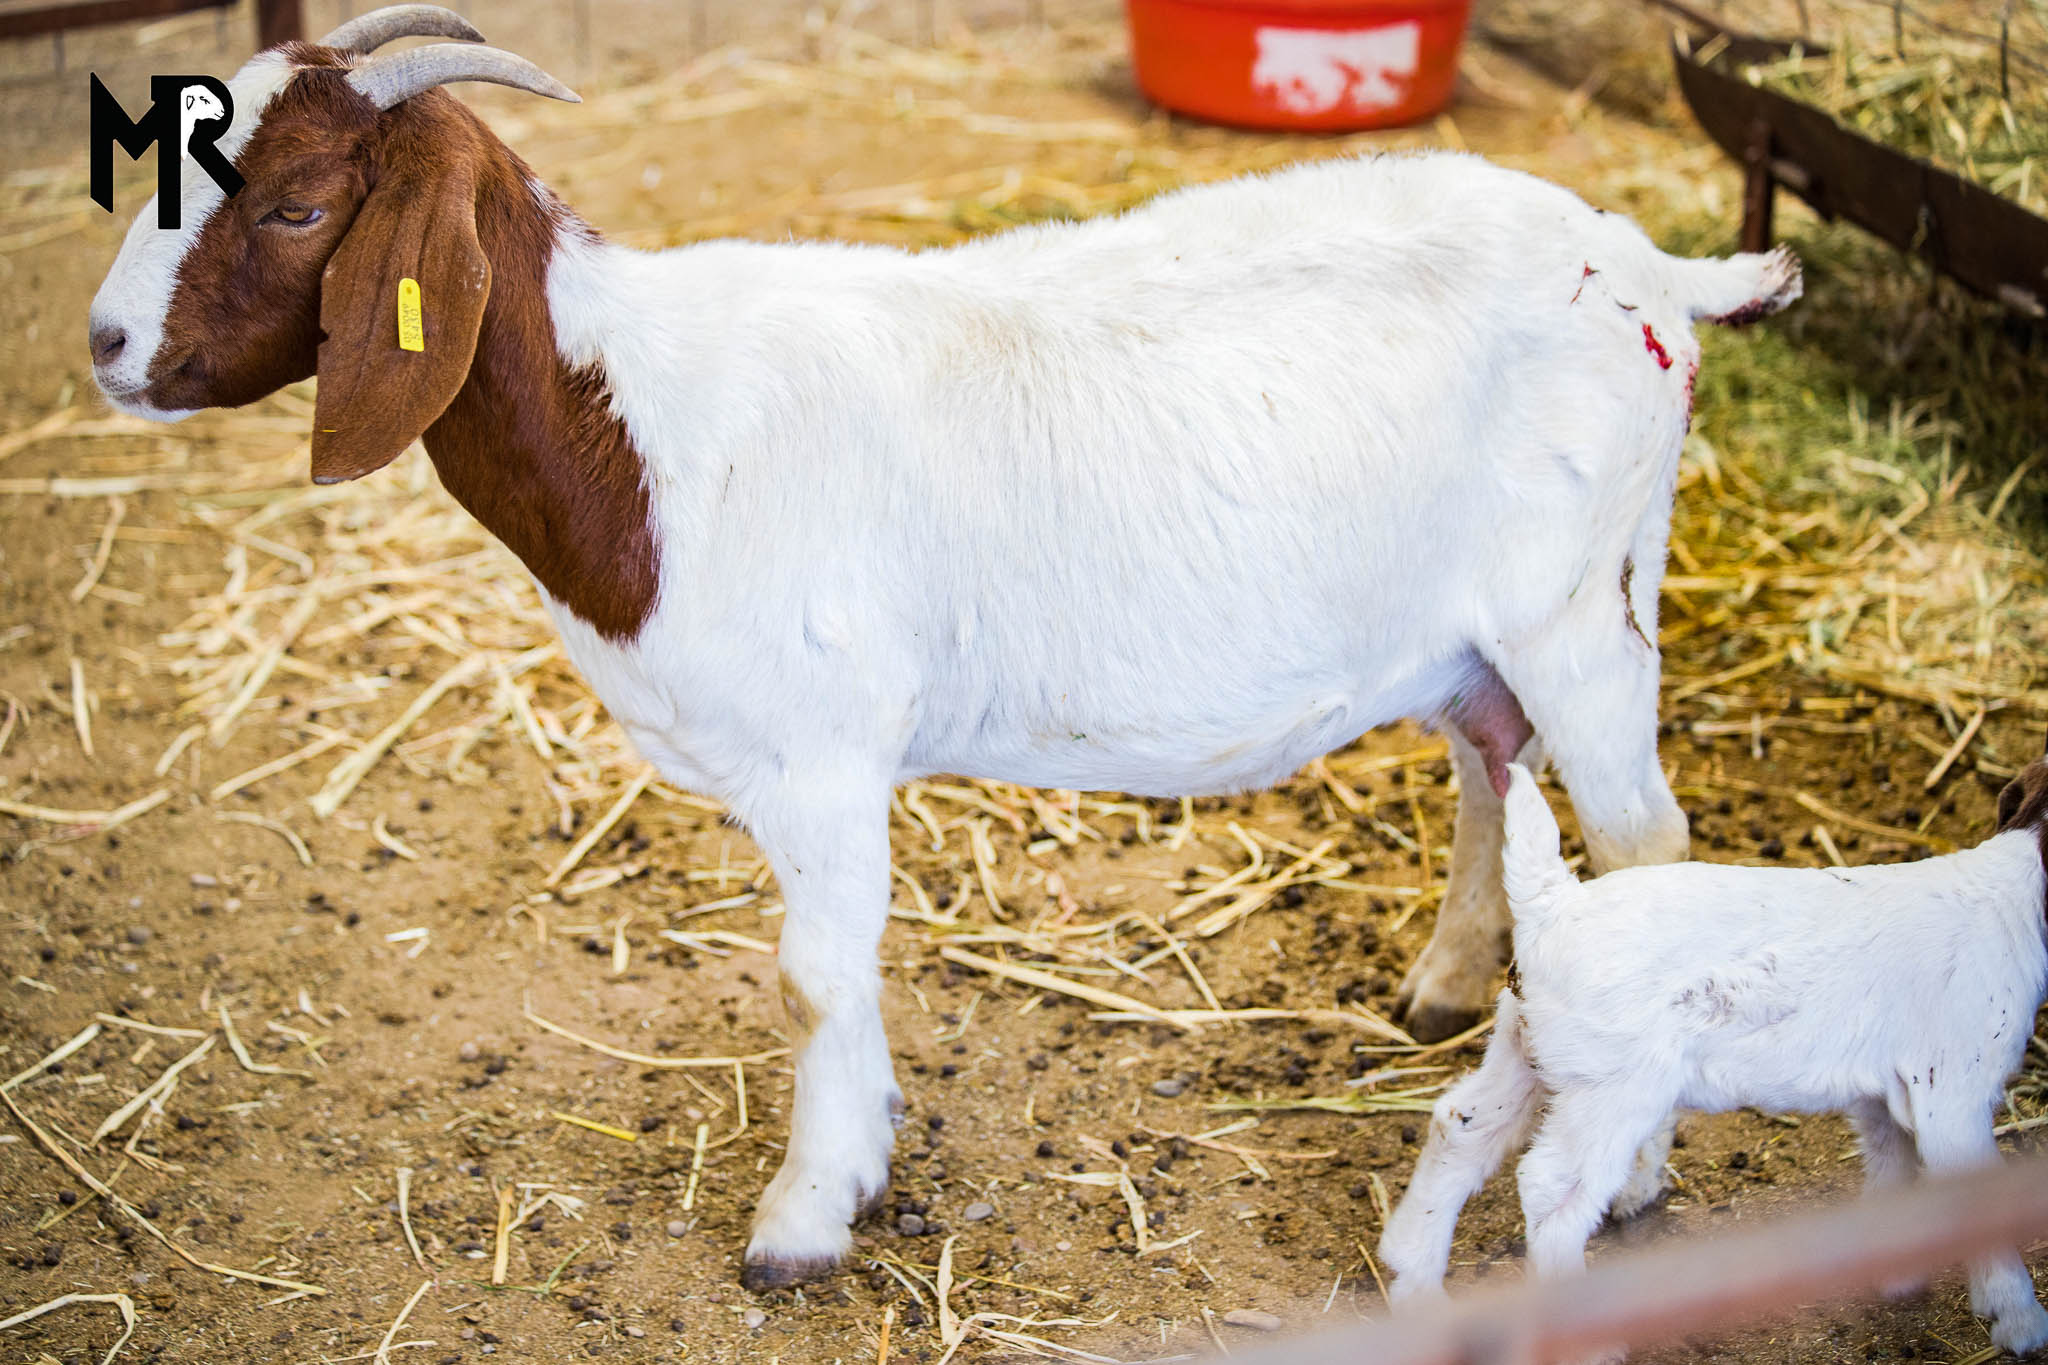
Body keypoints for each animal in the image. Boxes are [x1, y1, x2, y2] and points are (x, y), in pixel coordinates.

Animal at [85, 6, 1802, 1287]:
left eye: (300, 205)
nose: (103, 346)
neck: (644, 428)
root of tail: (1652, 265)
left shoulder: (826, 756)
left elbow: (815, 976)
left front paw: (802, 1215)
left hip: (1584, 603)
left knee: (1645, 838)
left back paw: (1631, 1169)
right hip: (1477, 629)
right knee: (1491, 764)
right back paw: (1445, 987)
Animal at [1378, 754, 2048, 1357]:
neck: (2013, 893)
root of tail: (1551, 902)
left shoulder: (1883, 1095)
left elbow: (1893, 1171)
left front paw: (1896, 1273)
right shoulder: (1953, 1088)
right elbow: (1976, 1197)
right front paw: (2019, 1322)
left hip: (1526, 1050)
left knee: (1461, 1128)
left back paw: (1417, 1288)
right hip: (1612, 1088)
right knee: (1552, 1191)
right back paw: (1582, 1344)